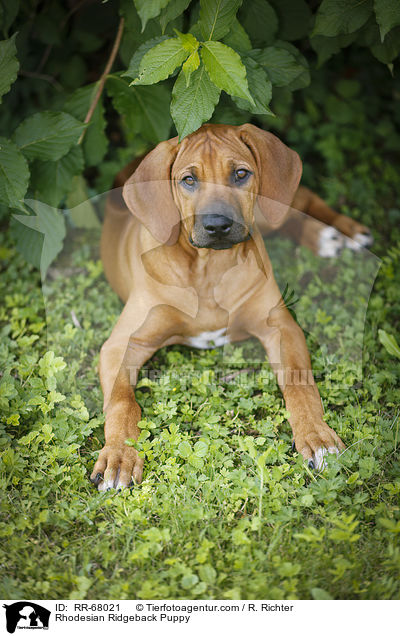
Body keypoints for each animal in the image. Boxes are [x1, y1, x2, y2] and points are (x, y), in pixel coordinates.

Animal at [90, 125, 372, 492]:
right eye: (188, 180)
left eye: (240, 174)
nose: (217, 226)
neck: (209, 268)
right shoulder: (121, 344)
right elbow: (122, 401)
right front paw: (119, 455)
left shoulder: (282, 326)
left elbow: (300, 384)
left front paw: (318, 437)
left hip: (268, 209)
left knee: (299, 201)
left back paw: (341, 231)